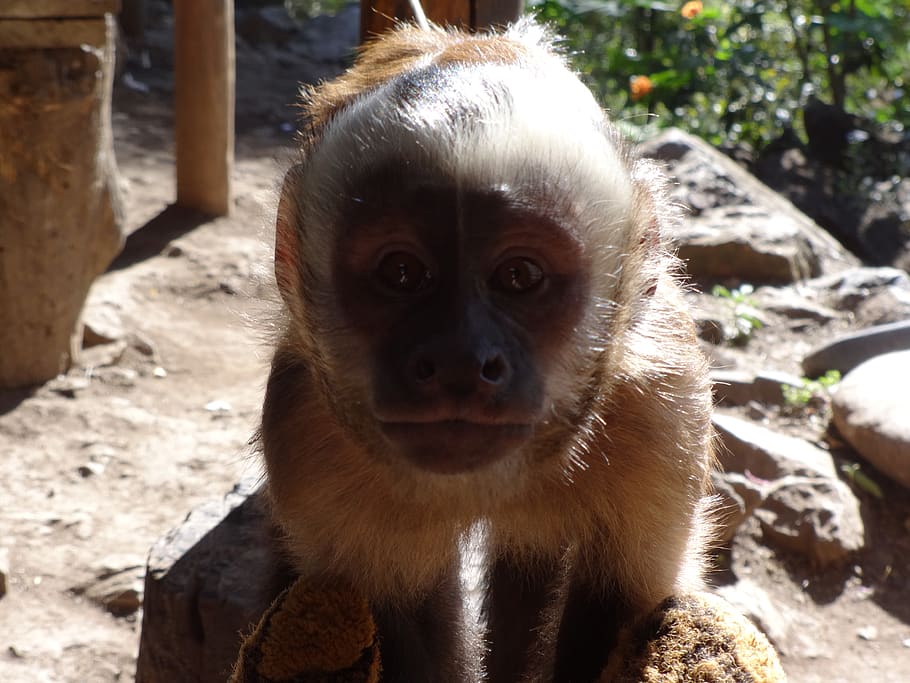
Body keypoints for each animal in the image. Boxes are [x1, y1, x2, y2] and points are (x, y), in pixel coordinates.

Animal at [259, 18, 715, 683]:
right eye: (401, 272)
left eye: (520, 276)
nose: (459, 361)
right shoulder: (305, 434)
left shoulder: (659, 412)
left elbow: (628, 607)